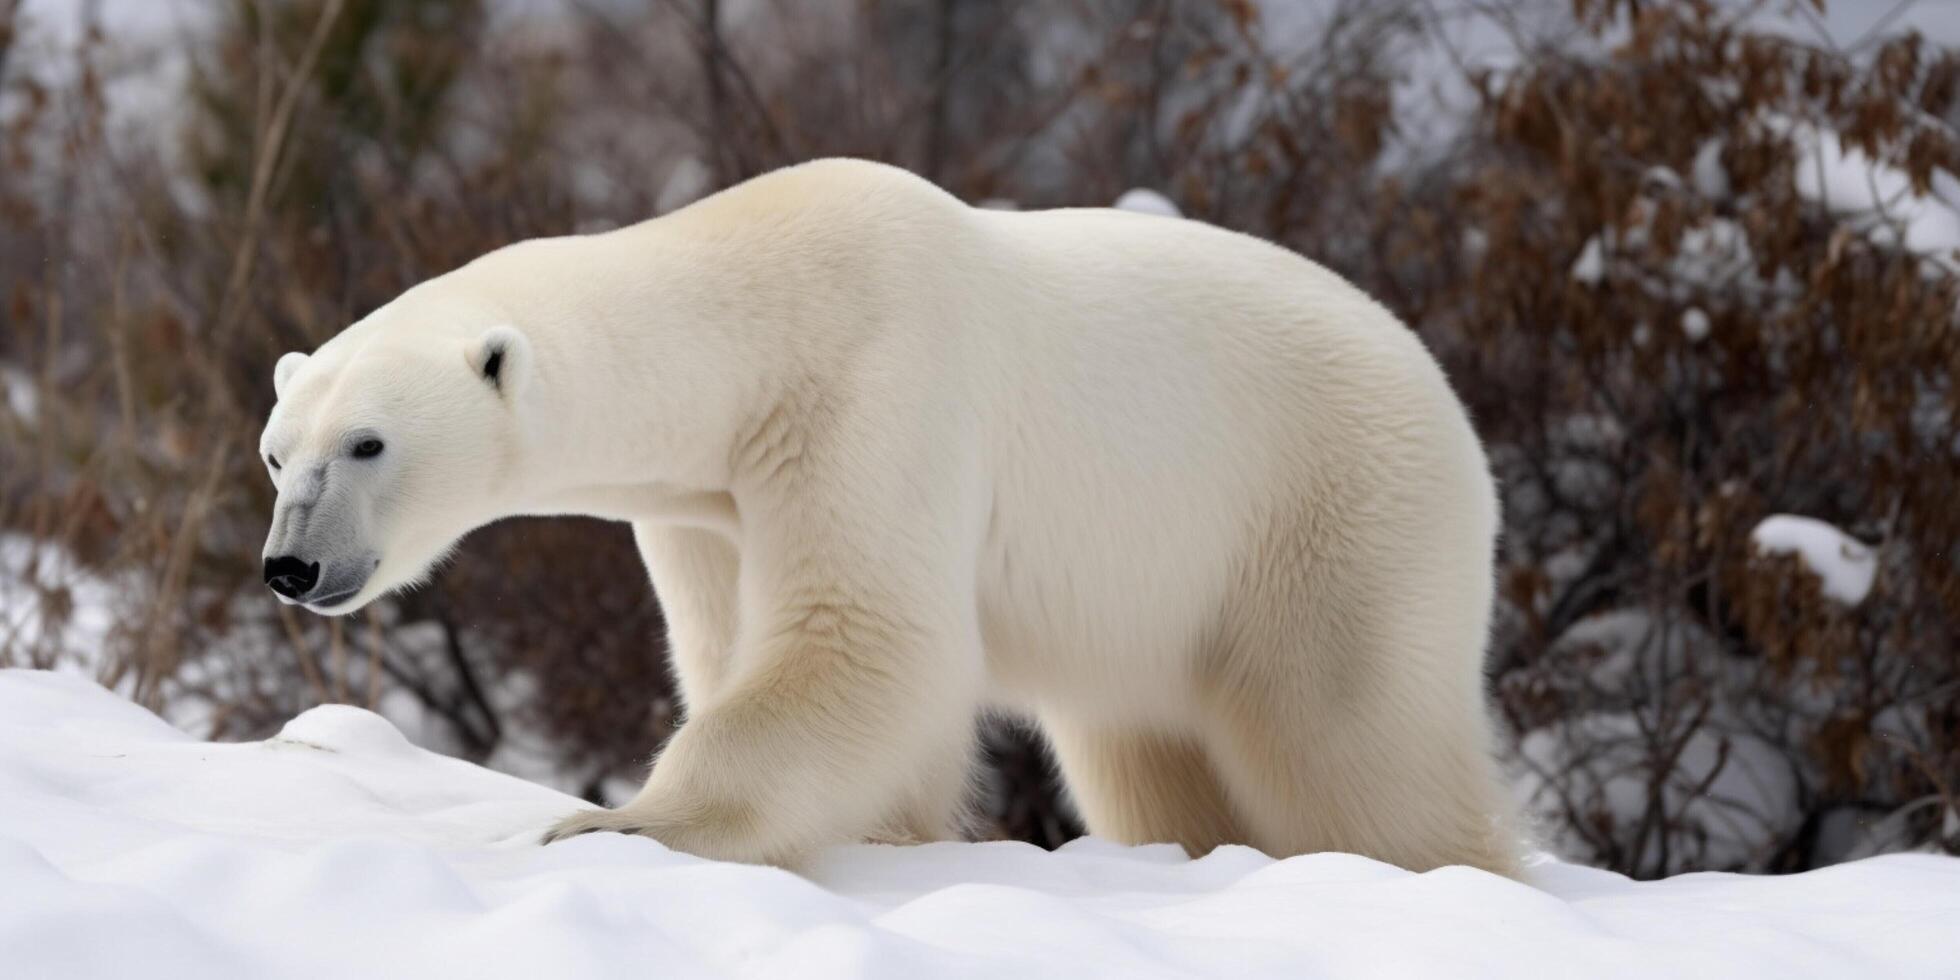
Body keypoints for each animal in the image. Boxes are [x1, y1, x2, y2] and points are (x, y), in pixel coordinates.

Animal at [256, 156, 1513, 878]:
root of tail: (1448, 401)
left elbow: (866, 634)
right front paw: (886, 833)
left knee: (1354, 738)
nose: (290, 565)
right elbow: (746, 646)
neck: (752, 301)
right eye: (276, 452)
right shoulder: (708, 503)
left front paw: (615, 825)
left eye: (366, 442)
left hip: (1327, 512)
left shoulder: (873, 386)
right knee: (1144, 747)